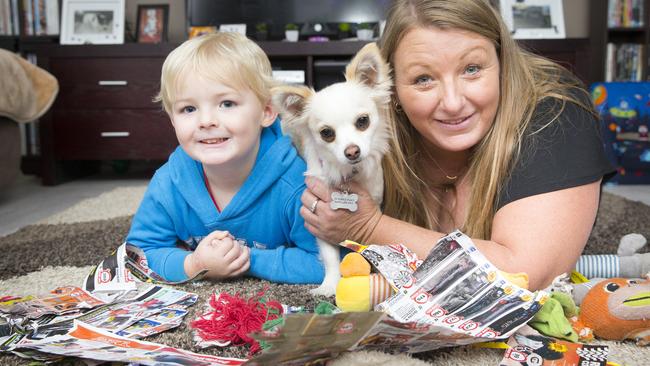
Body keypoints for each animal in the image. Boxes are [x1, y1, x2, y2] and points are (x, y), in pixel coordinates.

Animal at [270, 43, 390, 296]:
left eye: (363, 121)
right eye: (327, 133)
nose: (352, 151)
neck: (349, 175)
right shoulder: (319, 219)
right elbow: (330, 257)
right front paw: (329, 285)